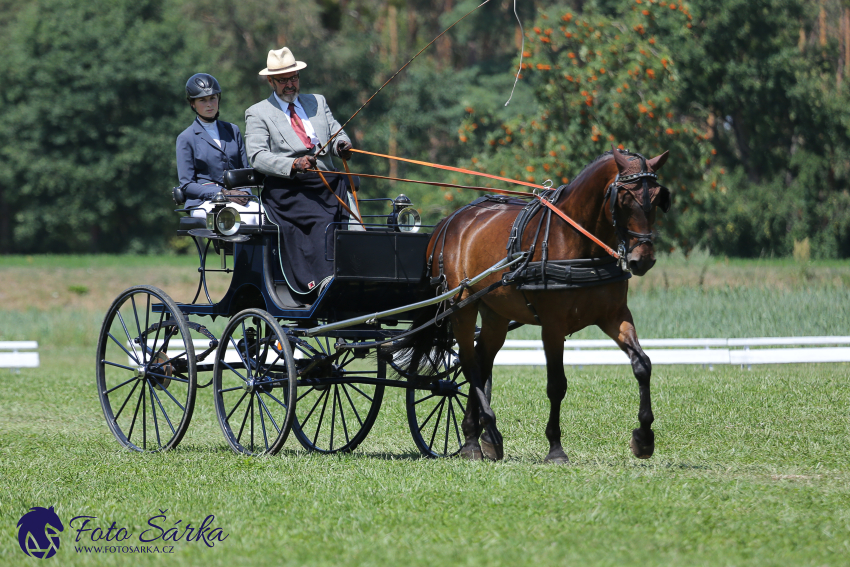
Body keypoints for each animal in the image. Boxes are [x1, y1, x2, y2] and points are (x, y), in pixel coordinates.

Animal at [390, 149, 668, 464]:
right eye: (624, 198)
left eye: (657, 197)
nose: (642, 260)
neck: (577, 241)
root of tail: (449, 221)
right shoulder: (553, 325)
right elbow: (556, 384)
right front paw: (556, 448)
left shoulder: (614, 316)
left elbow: (642, 365)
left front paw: (644, 437)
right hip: (461, 307)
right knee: (470, 365)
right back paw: (485, 435)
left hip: (495, 314)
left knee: (481, 361)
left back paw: (476, 437)